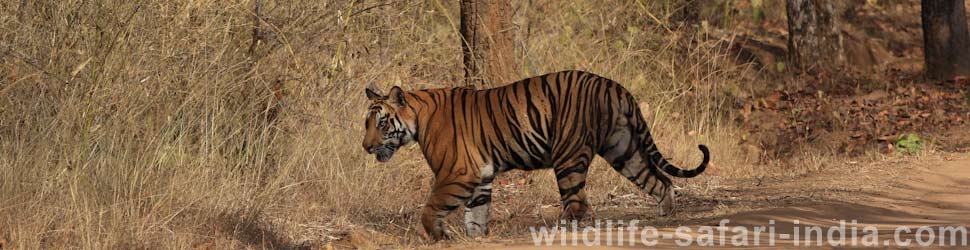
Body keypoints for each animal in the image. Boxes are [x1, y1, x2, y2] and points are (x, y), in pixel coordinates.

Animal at [360, 70, 708, 240]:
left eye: (381, 123)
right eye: (366, 124)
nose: (366, 147)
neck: (417, 120)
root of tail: (612, 86)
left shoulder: (457, 174)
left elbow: (430, 208)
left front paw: (439, 235)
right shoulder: (481, 177)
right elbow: (476, 216)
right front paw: (475, 238)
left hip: (569, 156)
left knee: (578, 205)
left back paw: (566, 232)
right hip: (622, 148)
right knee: (659, 181)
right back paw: (665, 216)